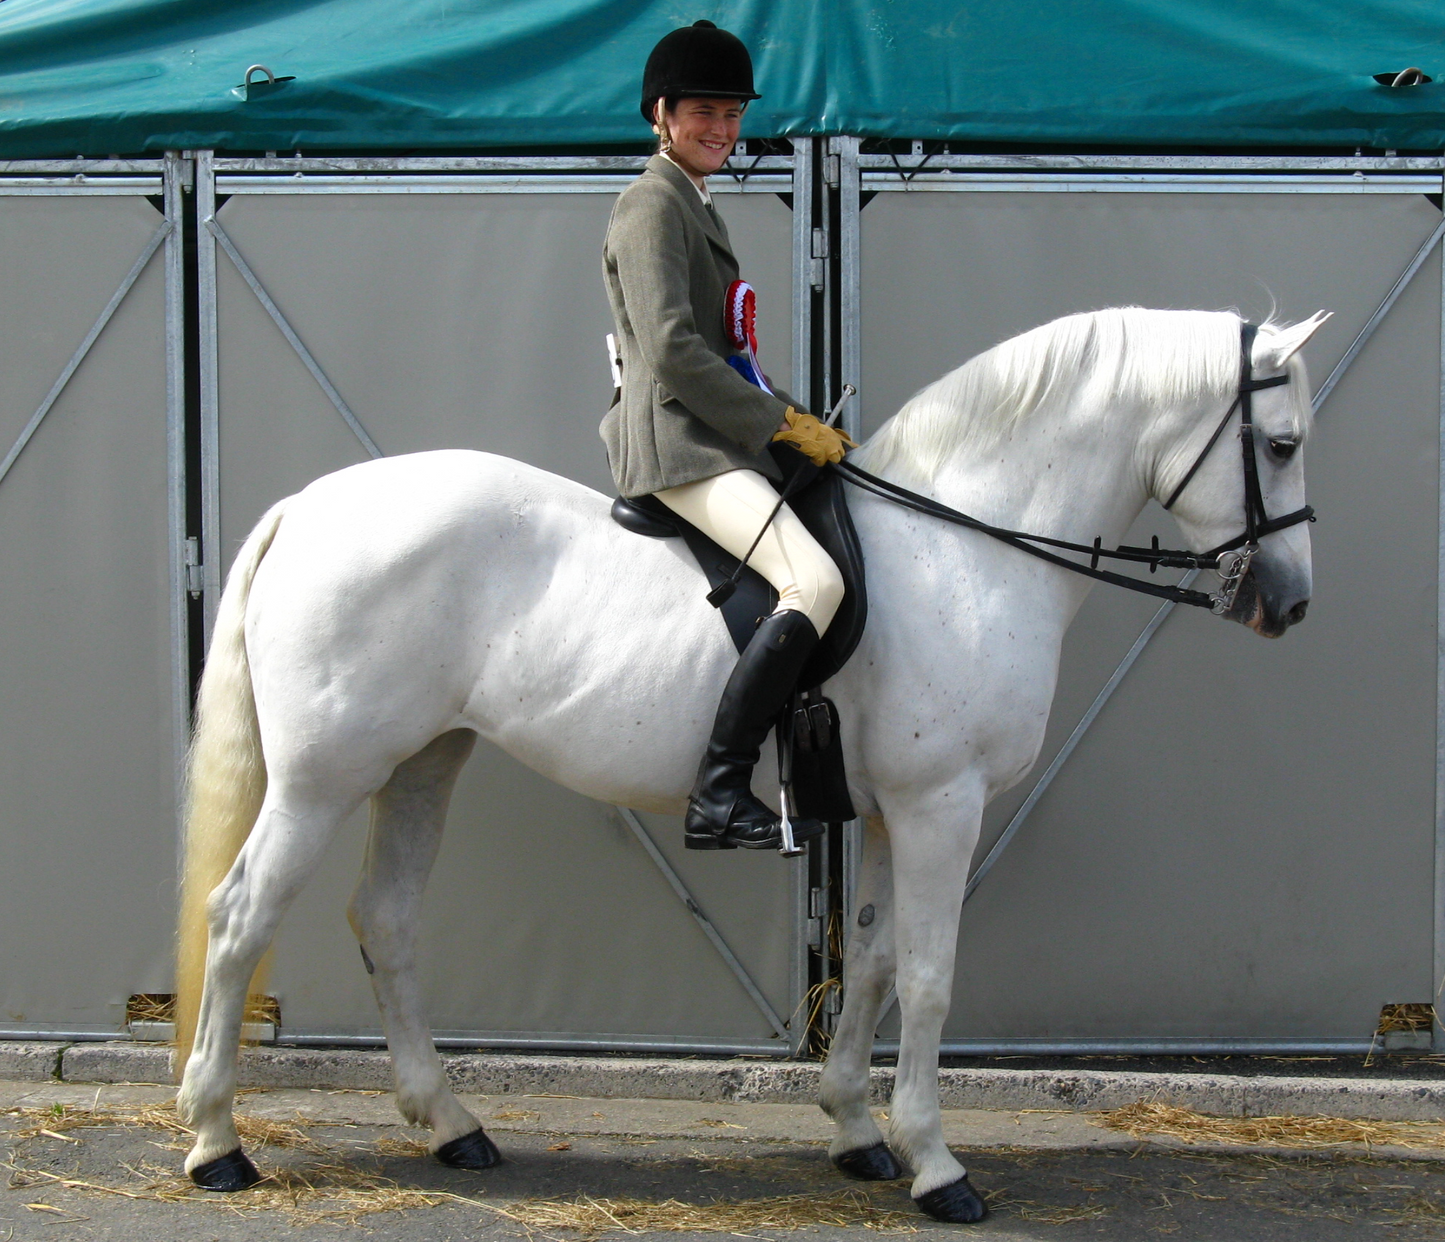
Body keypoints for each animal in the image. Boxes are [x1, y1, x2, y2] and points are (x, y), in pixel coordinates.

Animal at [174, 307, 1323, 1224]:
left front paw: (857, 1134)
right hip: (322, 781)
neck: (963, 551)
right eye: (1280, 442)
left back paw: (452, 1125)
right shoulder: (940, 806)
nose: (1290, 603)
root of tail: (307, 508)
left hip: (423, 761)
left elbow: (871, 960)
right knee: (240, 918)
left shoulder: (891, 811)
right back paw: (215, 1143)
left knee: (387, 919)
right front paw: (937, 1166)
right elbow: (928, 975)